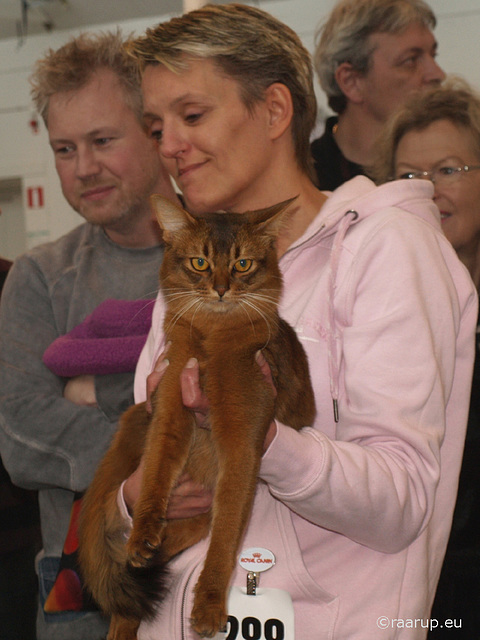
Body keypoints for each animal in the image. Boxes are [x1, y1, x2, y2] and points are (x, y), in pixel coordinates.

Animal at [78, 196, 316, 640]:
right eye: (200, 263)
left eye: (242, 264)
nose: (221, 288)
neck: (210, 336)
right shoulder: (169, 407)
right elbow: (156, 472)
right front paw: (142, 532)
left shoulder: (243, 443)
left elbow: (226, 534)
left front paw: (208, 605)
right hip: (138, 416)